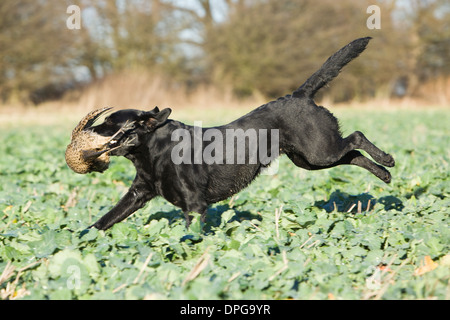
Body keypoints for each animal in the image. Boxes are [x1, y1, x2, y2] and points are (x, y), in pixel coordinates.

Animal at [90, 38, 394, 230]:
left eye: (110, 122)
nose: (90, 128)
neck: (155, 151)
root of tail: (300, 95)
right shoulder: (138, 193)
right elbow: (105, 220)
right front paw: (84, 240)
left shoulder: (195, 205)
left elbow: (191, 233)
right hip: (309, 159)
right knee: (353, 154)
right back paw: (385, 175)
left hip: (319, 151)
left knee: (357, 137)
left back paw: (388, 160)